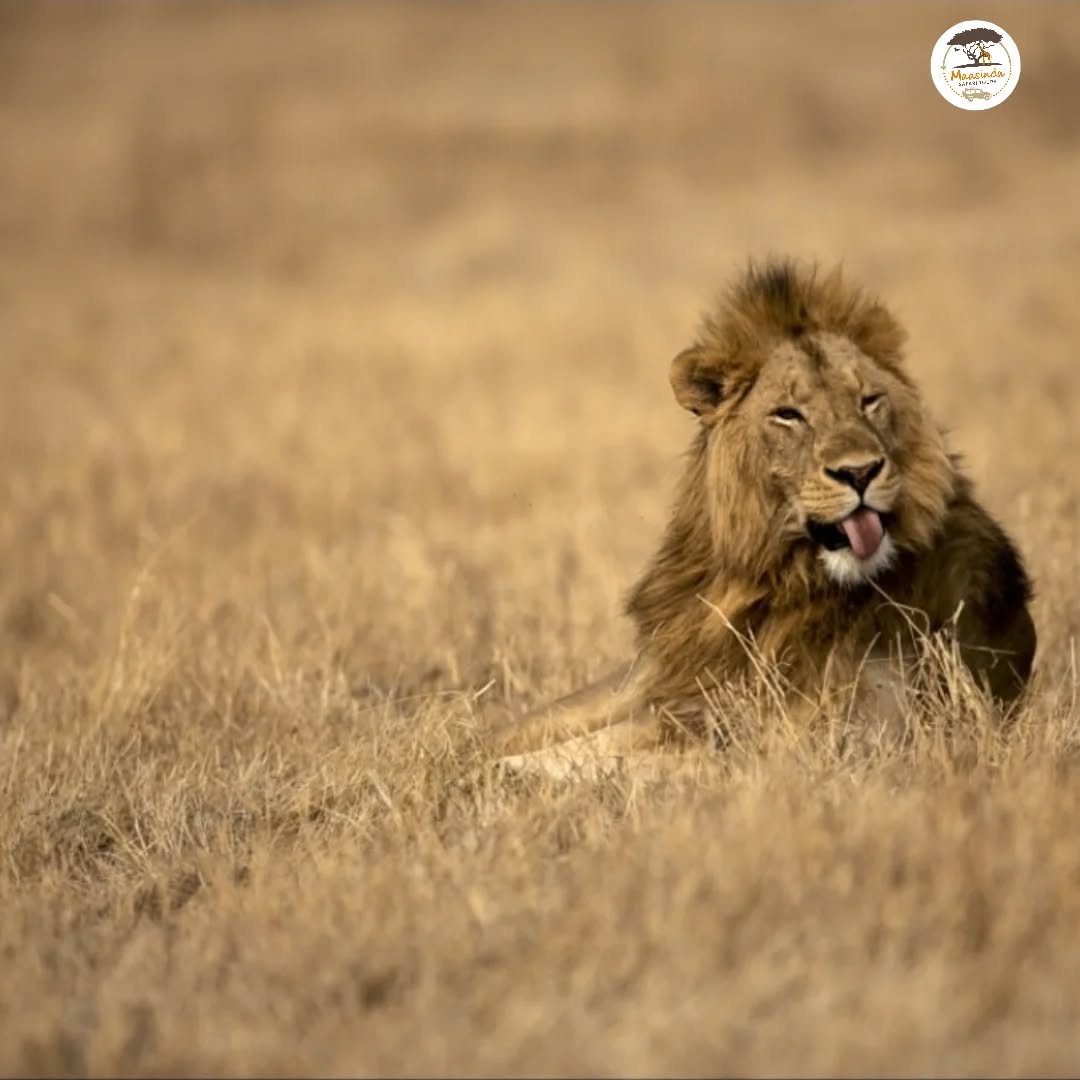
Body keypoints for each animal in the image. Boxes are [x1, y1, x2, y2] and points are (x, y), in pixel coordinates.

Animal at [491, 257, 1036, 775]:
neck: (770, 577)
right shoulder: (675, 690)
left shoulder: (834, 732)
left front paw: (504, 774)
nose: (860, 472)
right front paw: (489, 759)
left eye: (869, 400)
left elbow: (603, 756)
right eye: (788, 414)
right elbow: (561, 738)